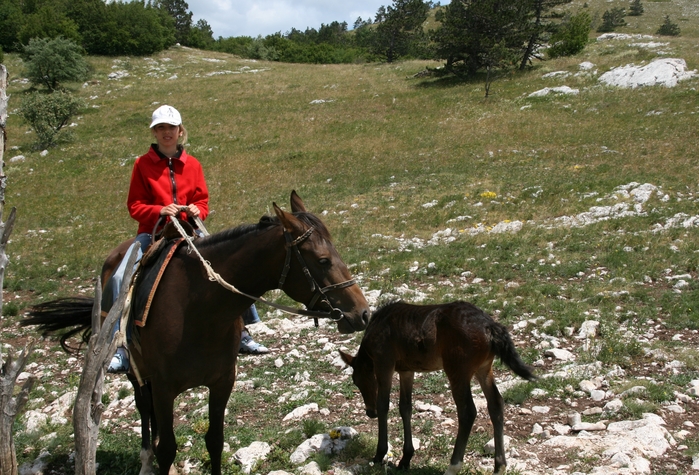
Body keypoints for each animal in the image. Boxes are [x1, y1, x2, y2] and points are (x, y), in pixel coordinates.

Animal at [26, 192, 372, 474]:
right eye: (322, 260)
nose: (363, 313)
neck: (199, 311)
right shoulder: (164, 388)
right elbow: (167, 447)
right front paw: (158, 459)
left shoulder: (222, 382)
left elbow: (215, 441)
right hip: (137, 372)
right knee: (143, 409)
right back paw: (145, 460)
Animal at [340, 302, 536, 475]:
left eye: (357, 380)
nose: (369, 412)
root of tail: (490, 326)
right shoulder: (406, 370)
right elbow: (405, 408)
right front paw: (405, 459)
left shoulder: (384, 364)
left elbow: (384, 405)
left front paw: (379, 455)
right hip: (484, 368)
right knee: (495, 404)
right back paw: (499, 466)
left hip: (457, 370)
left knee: (467, 412)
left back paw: (453, 467)